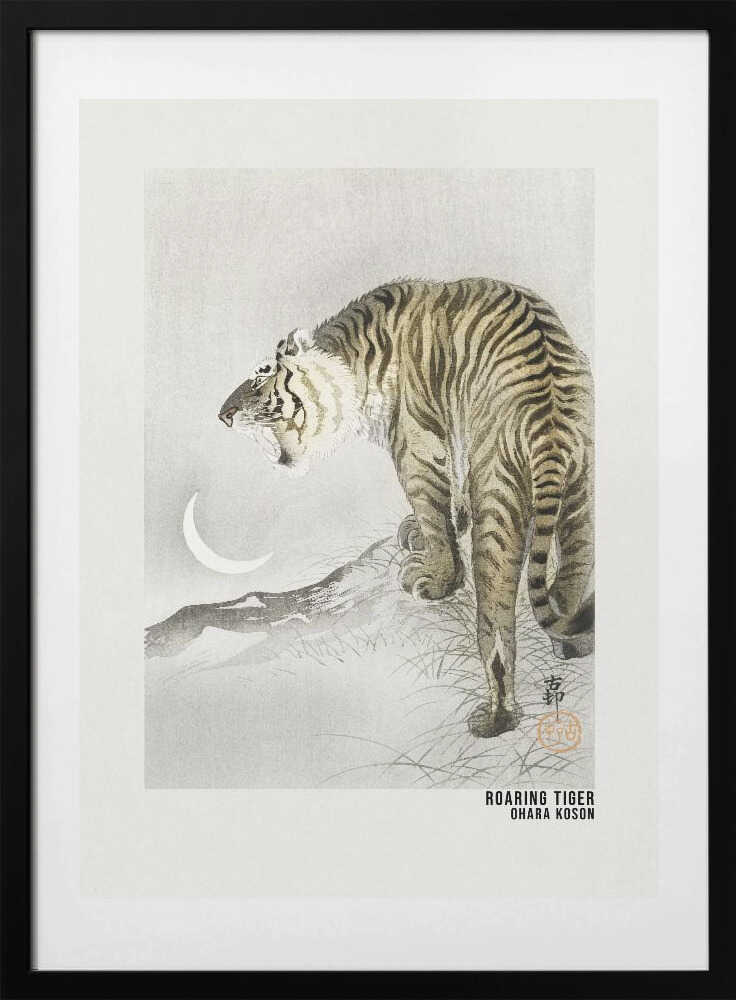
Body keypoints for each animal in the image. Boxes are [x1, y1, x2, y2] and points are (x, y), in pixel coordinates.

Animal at [218, 278, 594, 738]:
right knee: (572, 577)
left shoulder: (415, 446)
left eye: (261, 377)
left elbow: (433, 510)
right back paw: (573, 643)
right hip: (582, 497)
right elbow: (452, 494)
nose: (223, 415)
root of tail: (550, 422)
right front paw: (429, 528)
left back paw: (496, 718)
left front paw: (436, 578)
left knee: (496, 624)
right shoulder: (455, 432)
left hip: (499, 497)